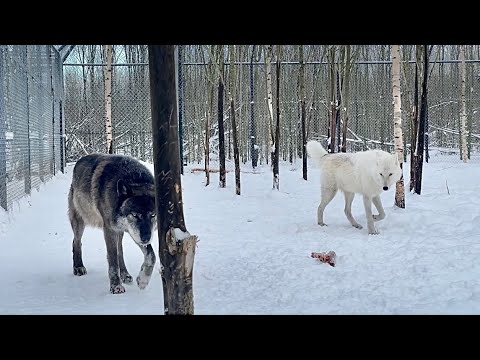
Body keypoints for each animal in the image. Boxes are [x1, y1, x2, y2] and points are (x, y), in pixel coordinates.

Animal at [67, 153, 157, 294]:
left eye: (153, 215)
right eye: (134, 215)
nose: (146, 238)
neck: (135, 178)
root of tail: (80, 160)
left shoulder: (134, 232)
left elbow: (151, 255)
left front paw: (143, 281)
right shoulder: (110, 229)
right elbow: (113, 259)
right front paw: (116, 286)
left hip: (121, 231)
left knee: (120, 249)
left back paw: (125, 274)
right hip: (80, 221)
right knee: (76, 242)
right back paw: (78, 267)